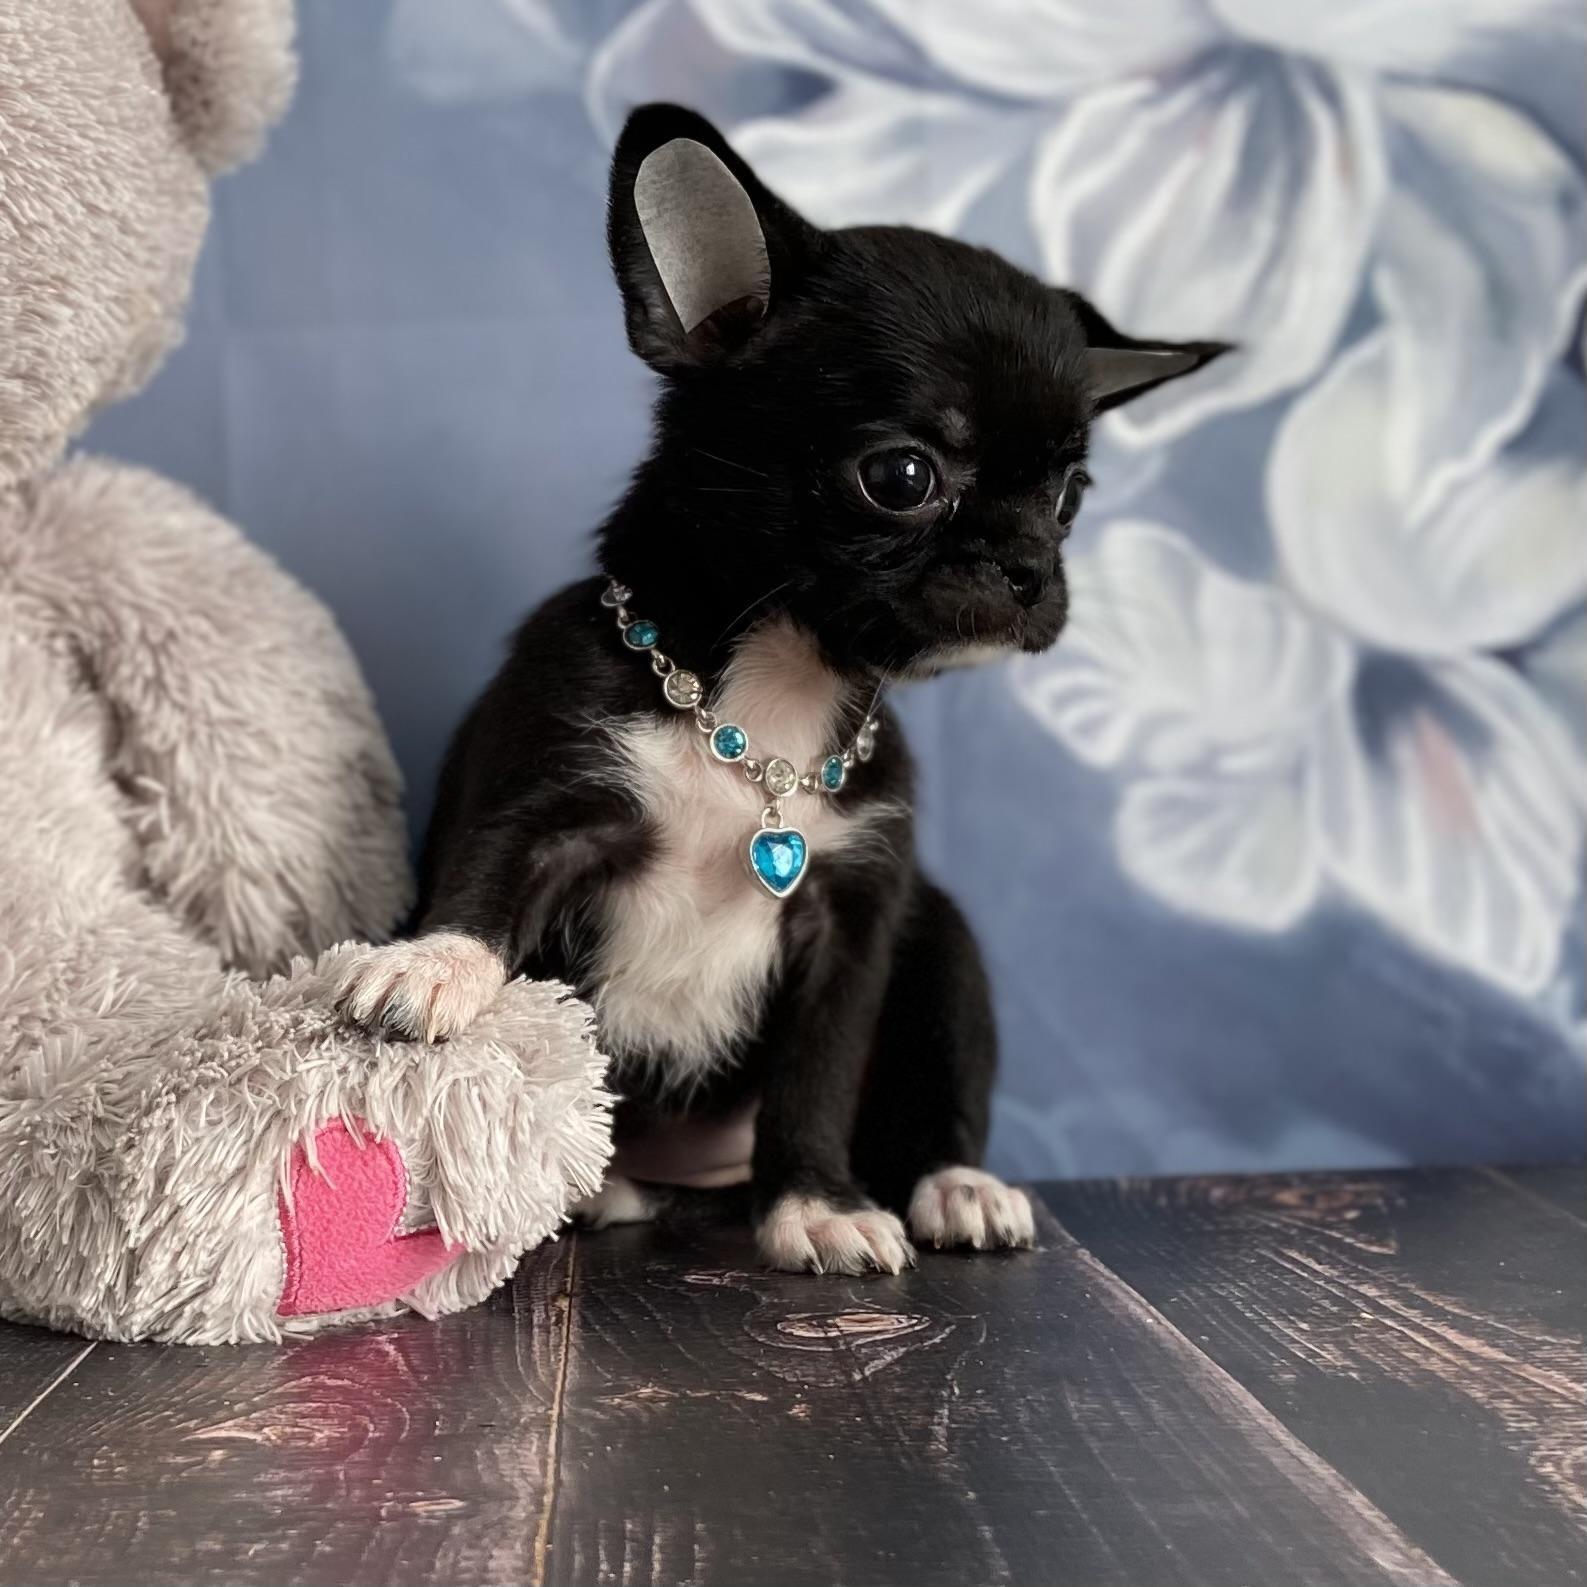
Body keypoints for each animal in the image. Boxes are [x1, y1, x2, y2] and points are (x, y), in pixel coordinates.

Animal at [339, 104, 1225, 1274]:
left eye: (1070, 496)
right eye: (901, 477)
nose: (1031, 567)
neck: (762, 707)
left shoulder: (851, 922)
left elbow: (817, 1075)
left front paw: (813, 1202)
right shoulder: (550, 806)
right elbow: (484, 887)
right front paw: (434, 967)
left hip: (942, 948)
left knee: (935, 1098)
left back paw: (955, 1185)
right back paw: (598, 1187)